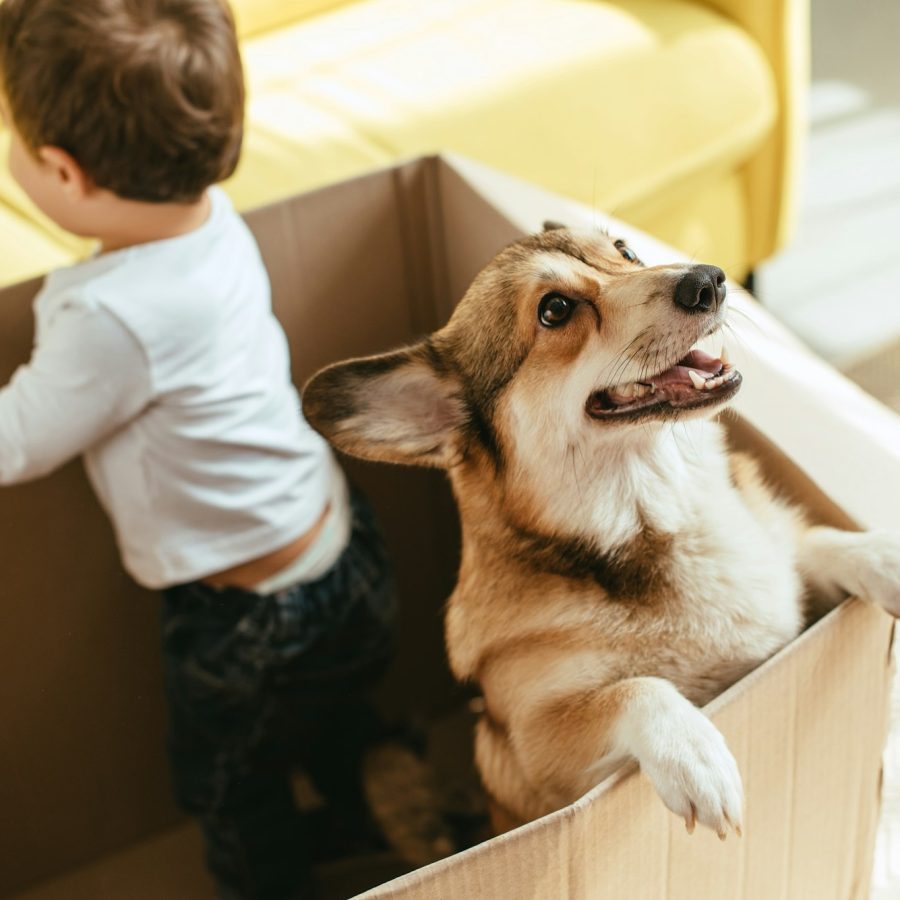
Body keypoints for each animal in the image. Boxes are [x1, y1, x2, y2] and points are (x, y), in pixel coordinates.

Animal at [302, 223, 900, 836]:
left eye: (624, 252)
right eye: (555, 310)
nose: (708, 281)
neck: (654, 515)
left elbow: (817, 541)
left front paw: (882, 556)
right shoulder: (543, 753)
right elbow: (636, 690)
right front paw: (695, 752)